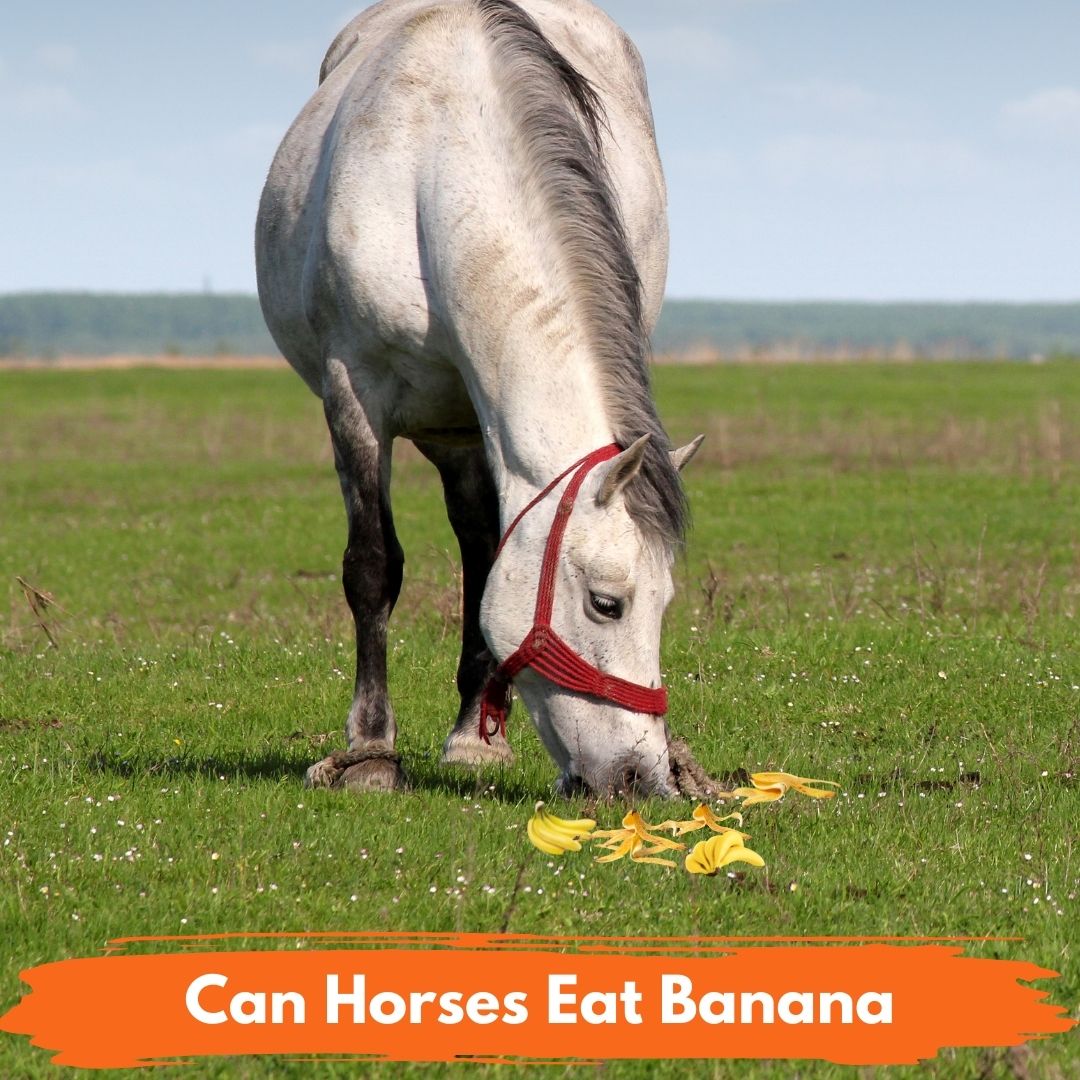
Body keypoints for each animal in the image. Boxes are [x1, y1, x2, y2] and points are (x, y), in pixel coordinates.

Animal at [255, 0, 710, 798]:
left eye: (666, 603)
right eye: (607, 603)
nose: (641, 777)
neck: (436, 171)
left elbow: (491, 557)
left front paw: (474, 735)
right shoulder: (354, 394)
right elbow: (372, 566)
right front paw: (370, 750)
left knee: (478, 546)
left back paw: (475, 728)